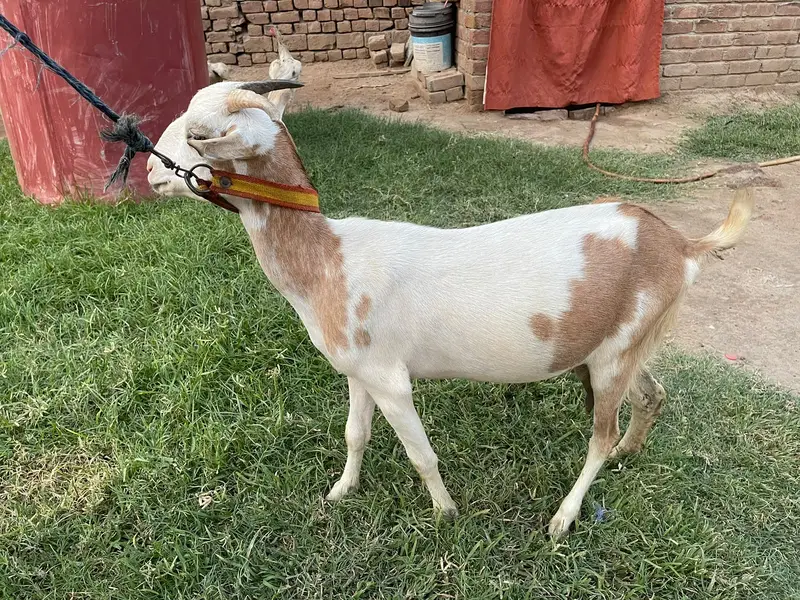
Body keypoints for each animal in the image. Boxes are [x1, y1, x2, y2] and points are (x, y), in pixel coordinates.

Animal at [148, 81, 754, 537]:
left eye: (199, 134)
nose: (151, 172)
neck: (329, 259)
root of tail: (680, 245)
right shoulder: (359, 371)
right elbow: (355, 434)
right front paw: (342, 491)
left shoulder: (390, 379)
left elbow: (422, 455)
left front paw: (446, 513)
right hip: (620, 346)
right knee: (652, 394)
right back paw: (630, 451)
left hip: (614, 355)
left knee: (599, 438)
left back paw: (564, 517)